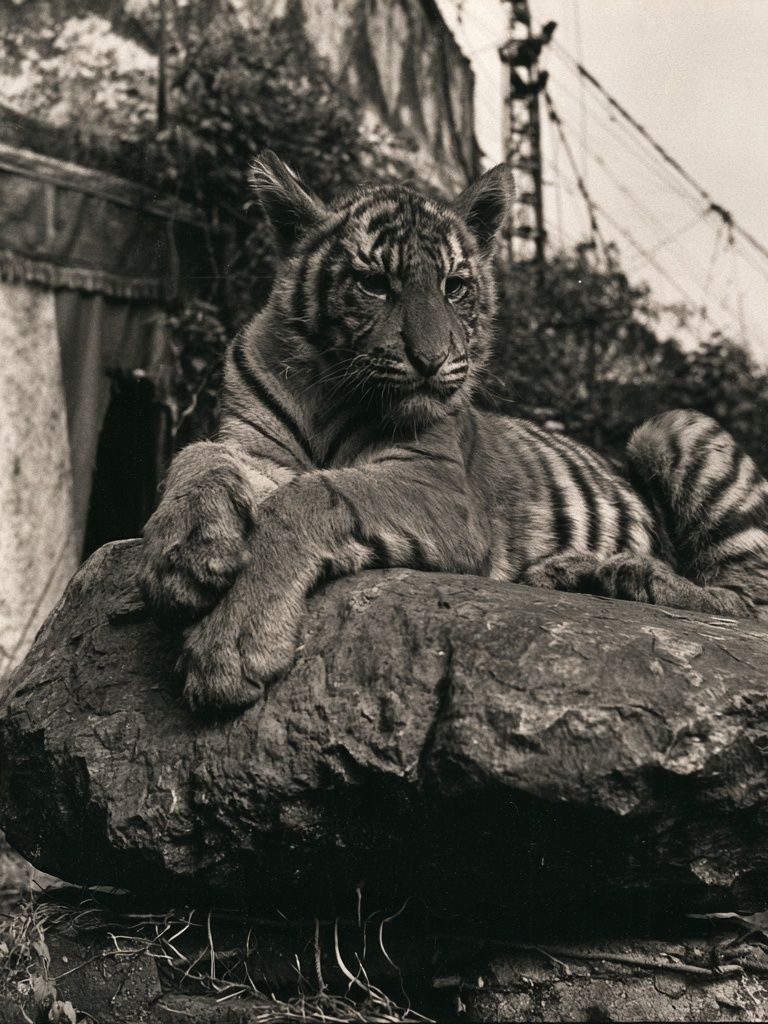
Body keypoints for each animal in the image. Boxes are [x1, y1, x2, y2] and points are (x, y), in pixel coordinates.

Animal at [139, 151, 768, 710]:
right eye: (374, 284)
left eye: (455, 287)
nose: (431, 360)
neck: (326, 387)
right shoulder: (250, 447)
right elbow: (197, 456)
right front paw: (182, 550)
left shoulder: (436, 485)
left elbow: (314, 495)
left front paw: (230, 643)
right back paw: (577, 572)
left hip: (671, 426)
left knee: (749, 601)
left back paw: (627, 575)